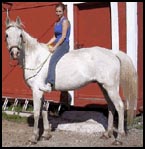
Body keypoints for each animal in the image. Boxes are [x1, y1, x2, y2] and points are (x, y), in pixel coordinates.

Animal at [5, 16, 138, 146]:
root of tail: (112, 53)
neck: (36, 58)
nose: (14, 53)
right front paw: (46, 134)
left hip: (111, 87)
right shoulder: (41, 91)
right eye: (6, 35)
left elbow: (37, 112)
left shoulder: (36, 91)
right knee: (111, 106)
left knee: (119, 106)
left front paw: (33, 138)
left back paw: (118, 138)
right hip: (103, 86)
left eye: (20, 35)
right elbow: (44, 111)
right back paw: (107, 134)